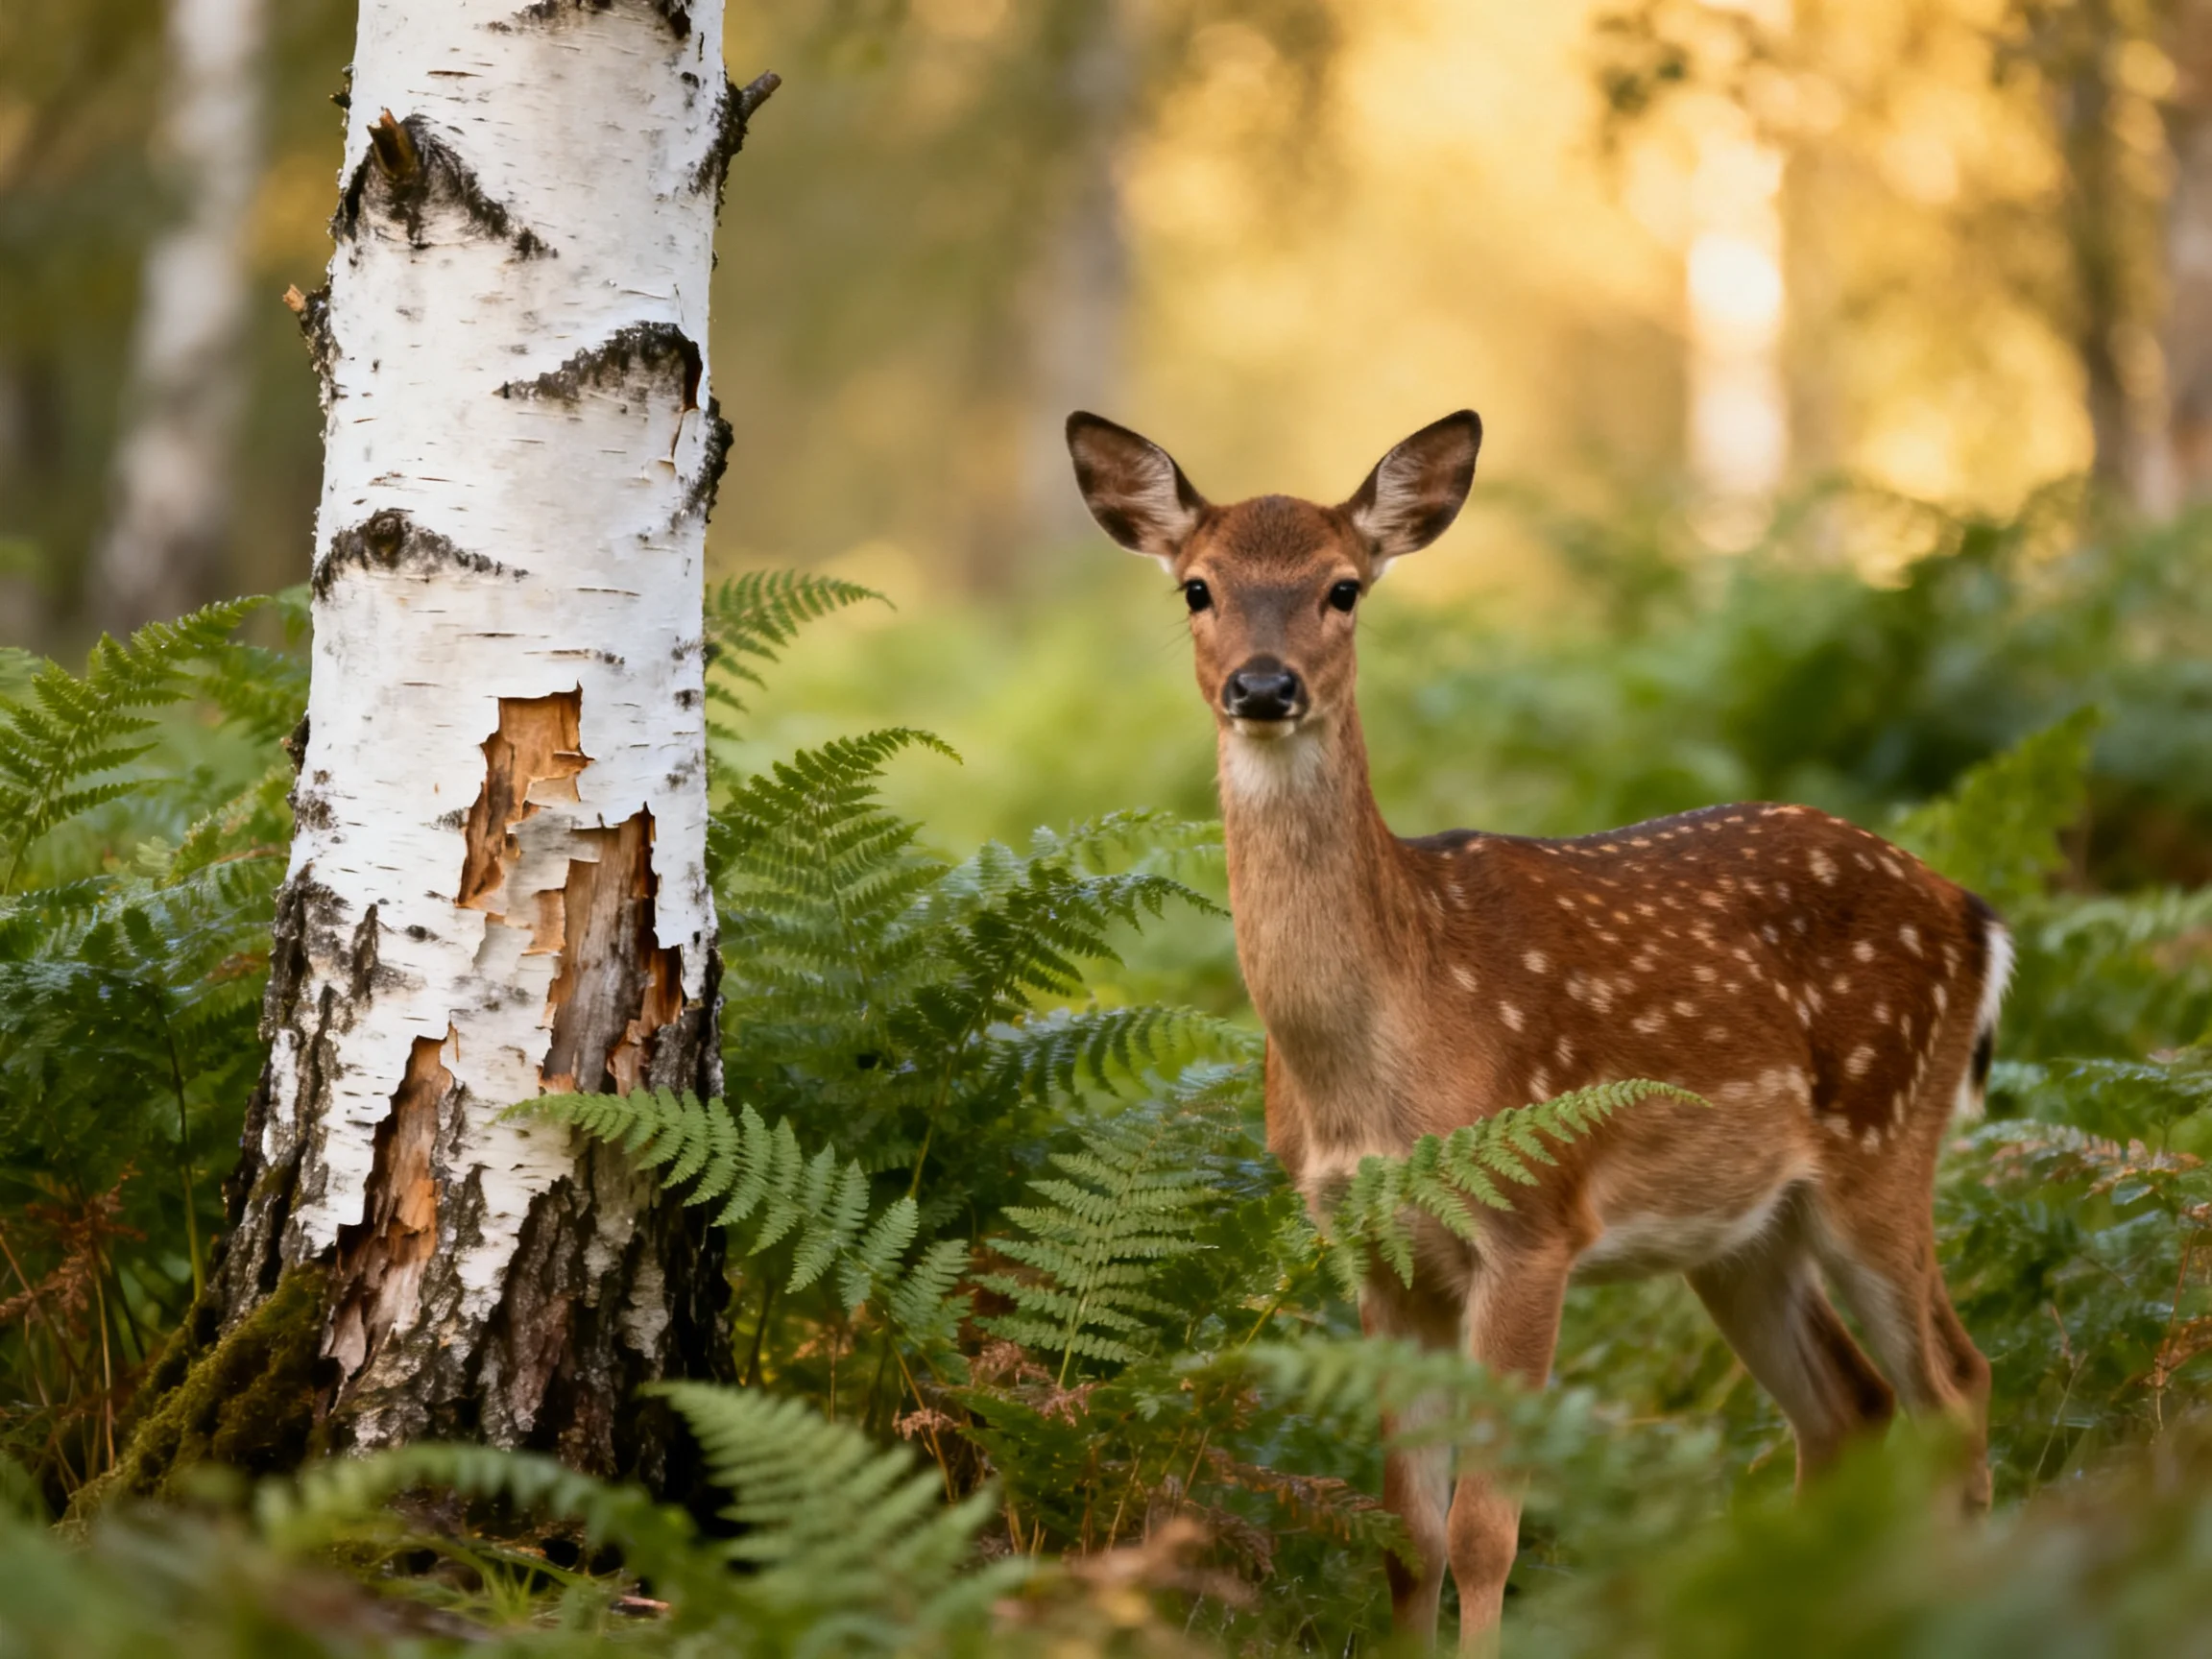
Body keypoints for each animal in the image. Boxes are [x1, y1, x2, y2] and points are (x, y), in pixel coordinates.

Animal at [1063, 409, 2010, 1652]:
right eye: (1197, 588)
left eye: (1343, 588)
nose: (1264, 687)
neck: (1382, 1052)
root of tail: (1974, 912)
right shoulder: (1374, 1250)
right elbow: (1404, 1537)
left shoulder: (1533, 1222)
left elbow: (1483, 1536)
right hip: (1745, 1228)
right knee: (1851, 1407)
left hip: (1885, 1145)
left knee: (1957, 1384)